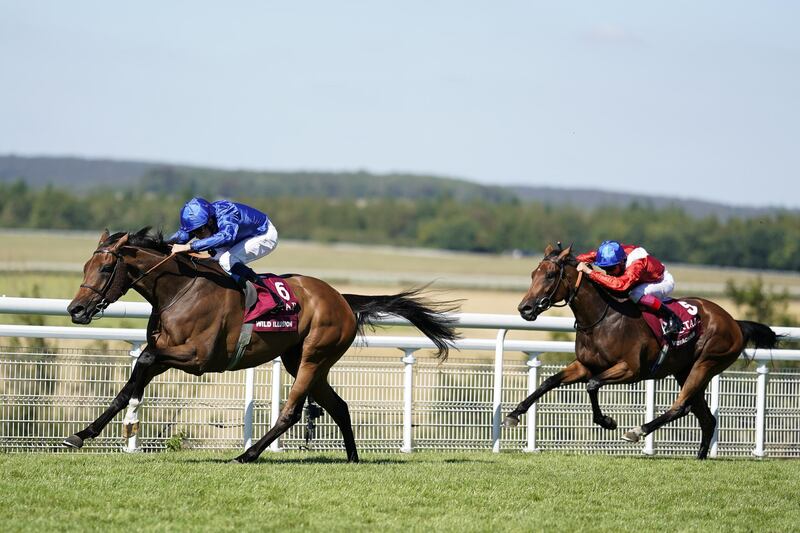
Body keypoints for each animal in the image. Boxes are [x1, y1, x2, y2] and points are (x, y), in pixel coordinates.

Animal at [65, 229, 460, 462]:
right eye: (84, 266)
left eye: (105, 269)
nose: (76, 310)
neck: (180, 290)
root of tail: (343, 299)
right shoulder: (167, 355)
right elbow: (126, 389)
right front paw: (81, 435)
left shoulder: (198, 358)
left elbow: (145, 357)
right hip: (301, 359)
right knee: (339, 406)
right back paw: (351, 457)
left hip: (314, 355)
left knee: (292, 412)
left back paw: (248, 454)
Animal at [504, 242, 780, 458]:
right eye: (533, 274)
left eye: (551, 275)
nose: (525, 309)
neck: (601, 319)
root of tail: (735, 322)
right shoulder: (585, 365)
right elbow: (549, 382)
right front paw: (514, 414)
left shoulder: (631, 370)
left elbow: (592, 385)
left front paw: (607, 421)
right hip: (684, 370)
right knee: (705, 417)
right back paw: (700, 457)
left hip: (707, 363)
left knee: (680, 406)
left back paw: (638, 430)